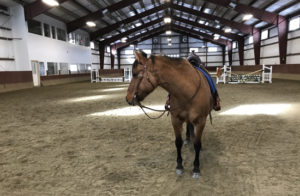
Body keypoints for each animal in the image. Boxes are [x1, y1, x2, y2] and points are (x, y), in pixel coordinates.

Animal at [125, 50, 212, 178]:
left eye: (135, 74)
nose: (128, 98)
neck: (187, 90)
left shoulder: (201, 121)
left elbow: (197, 144)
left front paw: (196, 168)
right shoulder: (175, 120)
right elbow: (178, 142)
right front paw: (179, 166)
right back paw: (188, 138)